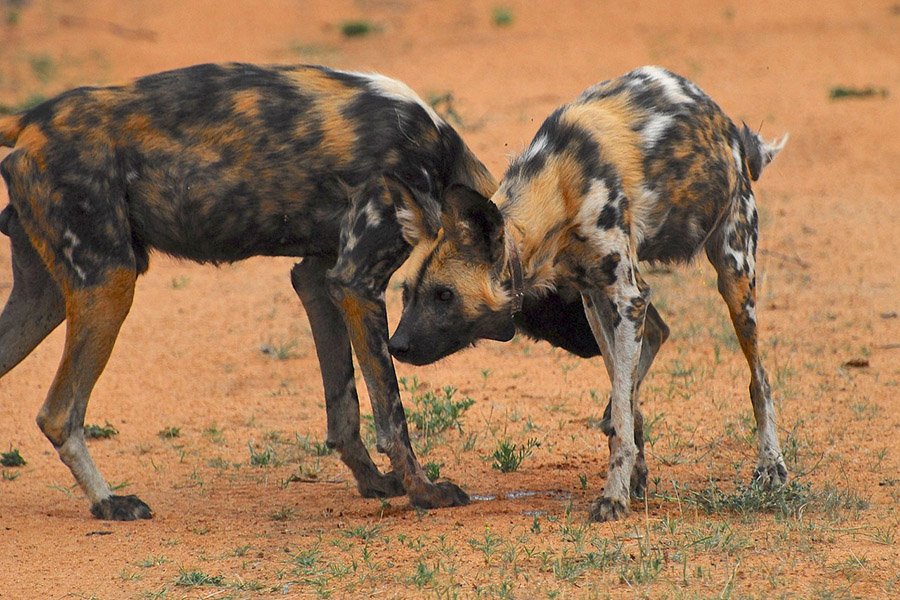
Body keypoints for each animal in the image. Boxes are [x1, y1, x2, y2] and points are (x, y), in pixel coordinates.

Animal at [0, 62, 510, 520]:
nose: (401, 346)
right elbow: (392, 414)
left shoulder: (320, 279)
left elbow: (343, 406)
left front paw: (372, 483)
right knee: (58, 414)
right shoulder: (357, 284)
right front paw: (423, 492)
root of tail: (32, 119)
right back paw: (108, 503)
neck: (437, 159)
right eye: (433, 295)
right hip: (110, 283)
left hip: (46, 297)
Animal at [390, 65, 784, 520]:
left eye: (444, 295)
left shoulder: (627, 297)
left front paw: (613, 497)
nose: (395, 345)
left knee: (760, 380)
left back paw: (771, 467)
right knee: (656, 352)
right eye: (406, 294)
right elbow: (622, 405)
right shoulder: (596, 299)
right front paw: (630, 474)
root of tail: (727, 126)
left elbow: (622, 415)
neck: (559, 186)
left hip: (735, 277)